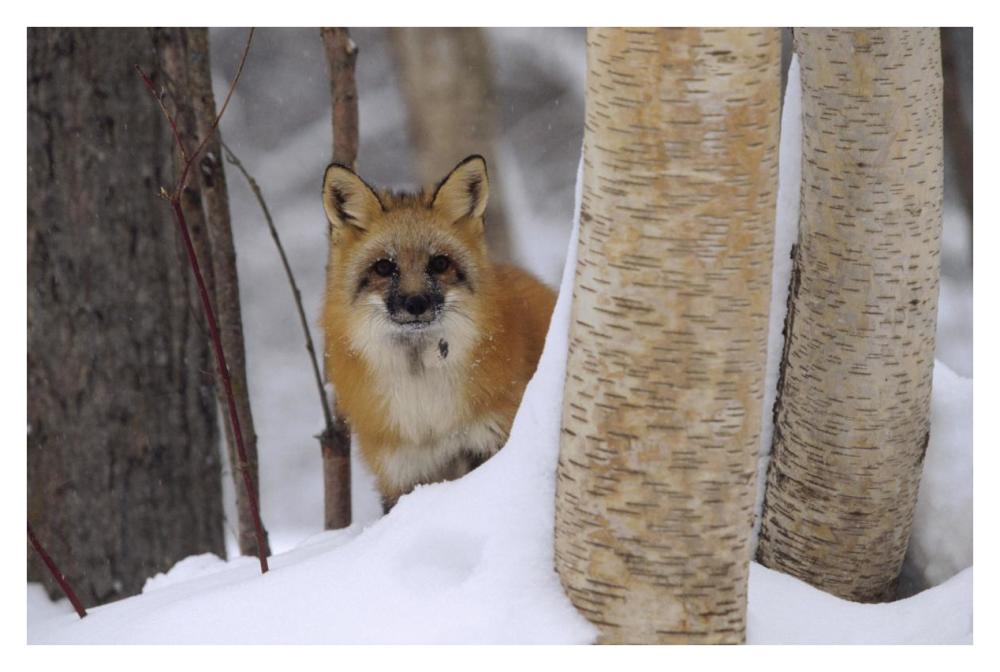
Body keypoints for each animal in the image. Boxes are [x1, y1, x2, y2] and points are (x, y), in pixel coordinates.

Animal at [320, 155, 556, 512]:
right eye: (384, 267)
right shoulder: (401, 473)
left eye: (440, 263)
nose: (416, 303)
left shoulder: (489, 440)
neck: (427, 413)